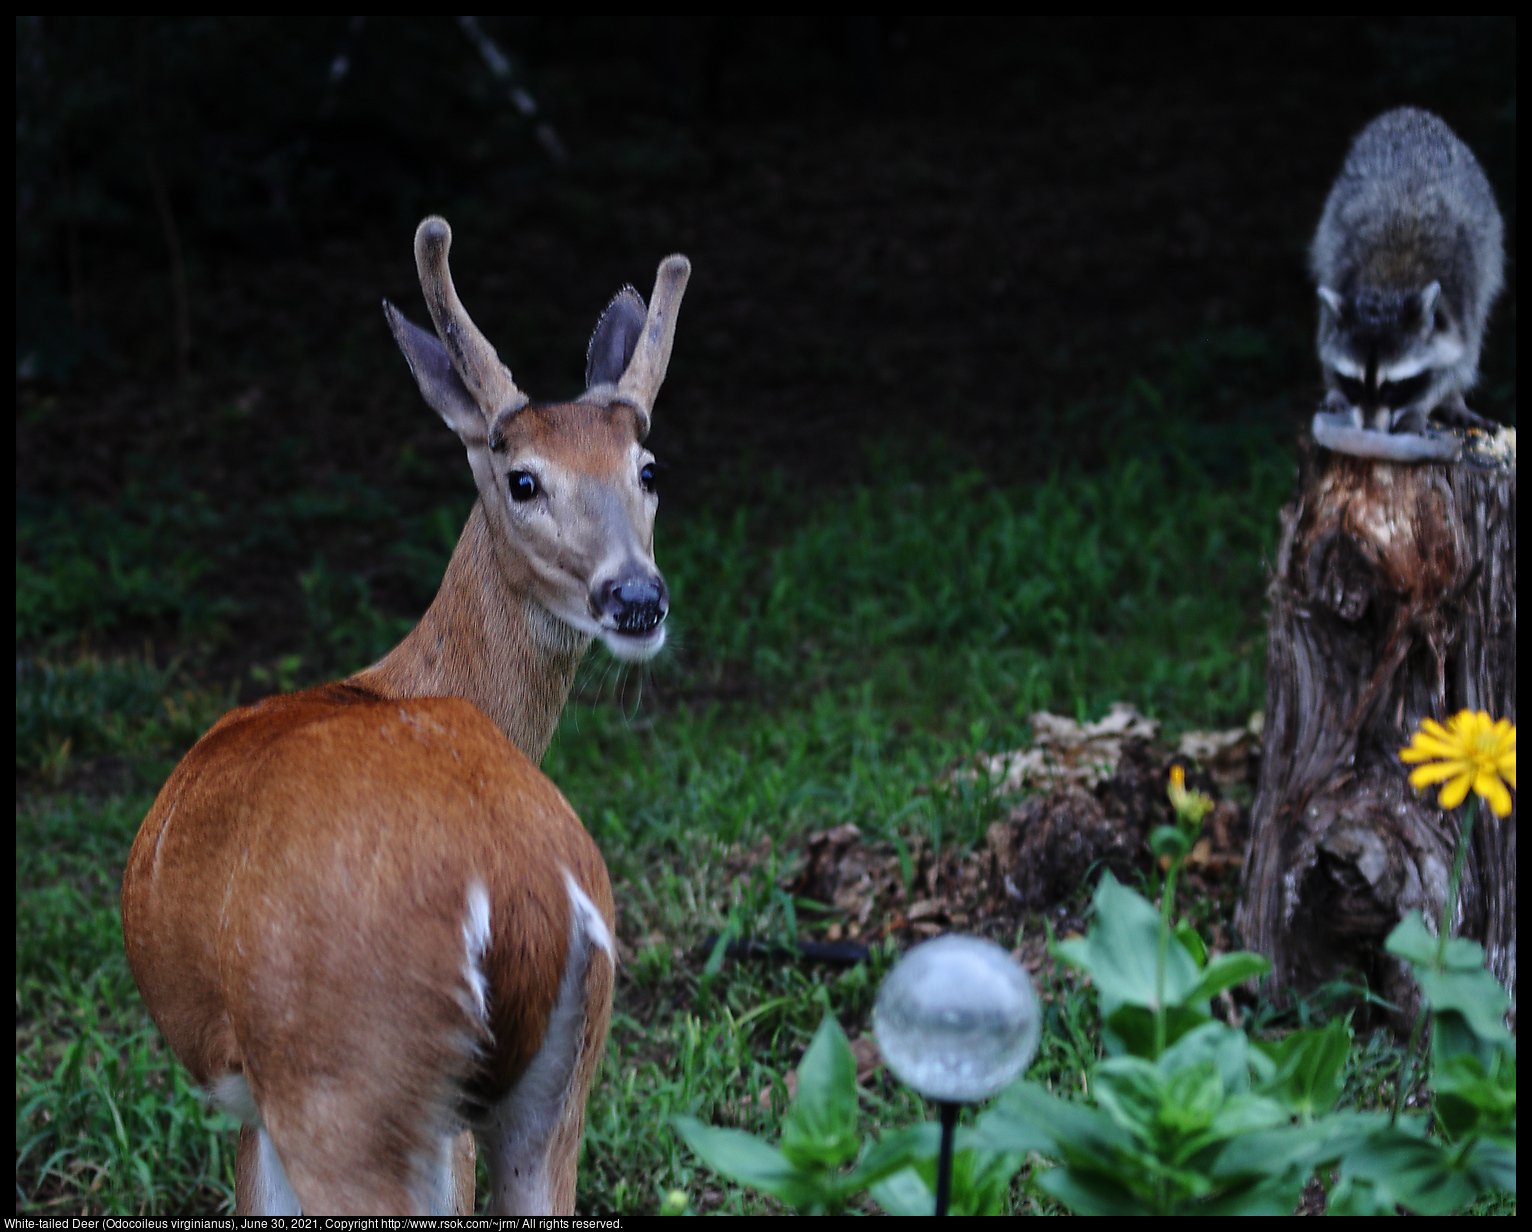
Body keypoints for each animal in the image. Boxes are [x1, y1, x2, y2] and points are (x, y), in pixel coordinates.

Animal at [119, 219, 689, 1213]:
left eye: (646, 469)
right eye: (523, 480)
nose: (636, 596)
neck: (398, 680)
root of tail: (524, 896)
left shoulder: (263, 1100)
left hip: (347, 1079)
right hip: (564, 1075)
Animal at [1311, 108, 1501, 453]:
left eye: (1394, 386)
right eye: (1354, 383)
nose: (1370, 429)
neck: (1388, 286)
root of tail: (1409, 113)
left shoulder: (1461, 305)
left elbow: (1456, 362)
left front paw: (1418, 408)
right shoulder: (1338, 273)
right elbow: (1326, 342)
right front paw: (1335, 387)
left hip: (1489, 244)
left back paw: (1455, 400)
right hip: (1329, 223)